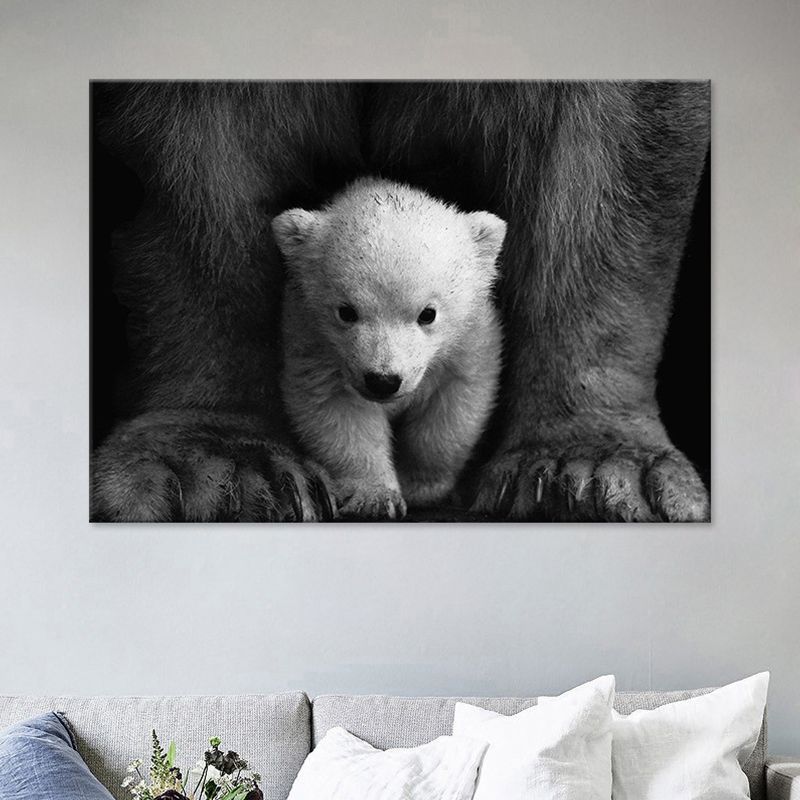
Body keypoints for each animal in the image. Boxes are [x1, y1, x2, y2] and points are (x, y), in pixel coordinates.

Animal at [272, 178, 505, 520]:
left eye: (428, 313)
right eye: (346, 311)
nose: (383, 381)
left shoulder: (469, 342)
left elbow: (452, 409)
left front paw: (421, 486)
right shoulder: (313, 343)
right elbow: (339, 412)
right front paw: (375, 497)